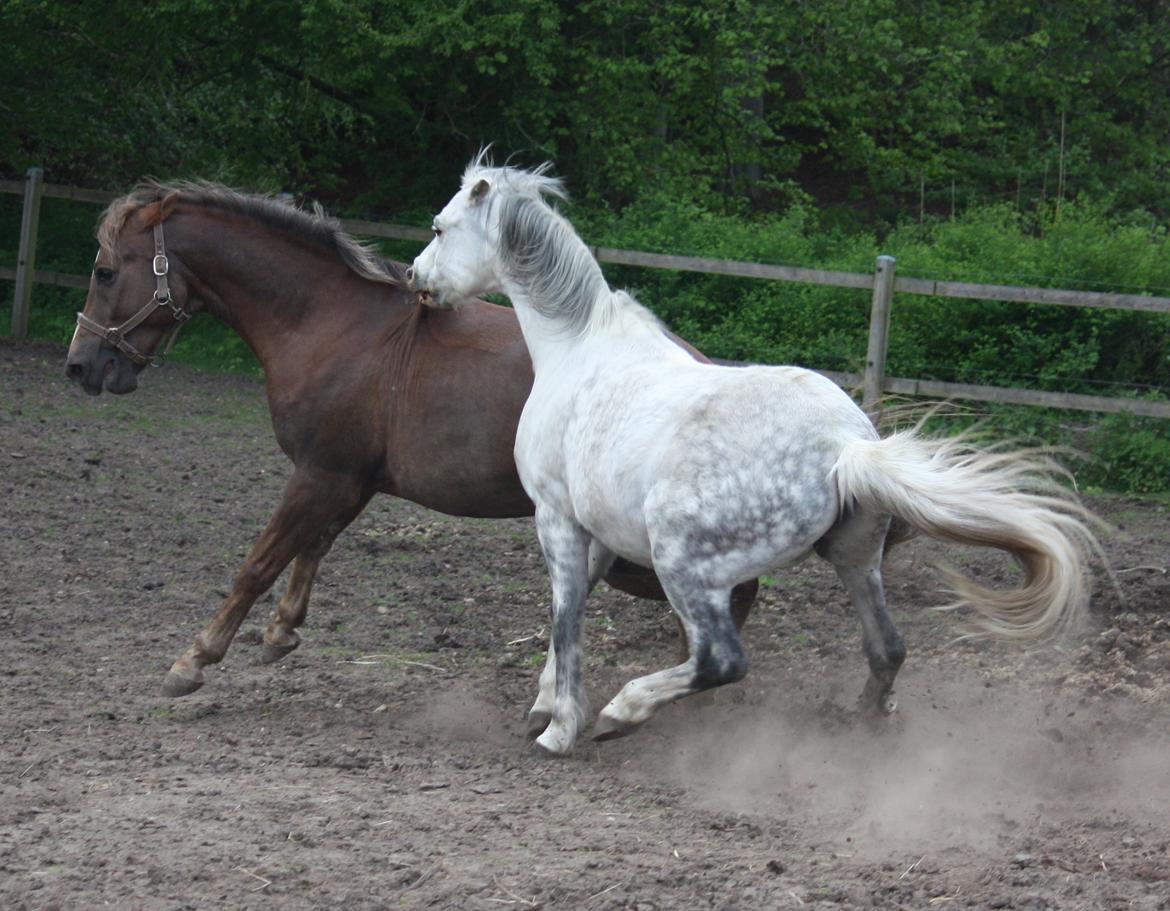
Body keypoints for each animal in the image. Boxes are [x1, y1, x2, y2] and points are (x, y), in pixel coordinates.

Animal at [64, 183, 758, 696]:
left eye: (104, 271)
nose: (80, 366)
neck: (332, 324)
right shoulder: (348, 480)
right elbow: (311, 548)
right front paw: (281, 633)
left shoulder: (319, 473)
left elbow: (258, 563)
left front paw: (195, 659)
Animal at [407, 156, 1099, 753]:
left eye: (440, 227)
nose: (416, 278)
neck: (576, 349)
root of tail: (844, 446)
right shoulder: (592, 530)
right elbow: (568, 609)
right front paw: (545, 705)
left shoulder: (555, 517)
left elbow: (564, 617)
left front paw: (560, 728)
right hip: (854, 559)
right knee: (888, 648)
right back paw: (863, 721)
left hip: (685, 564)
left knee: (721, 661)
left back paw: (623, 711)